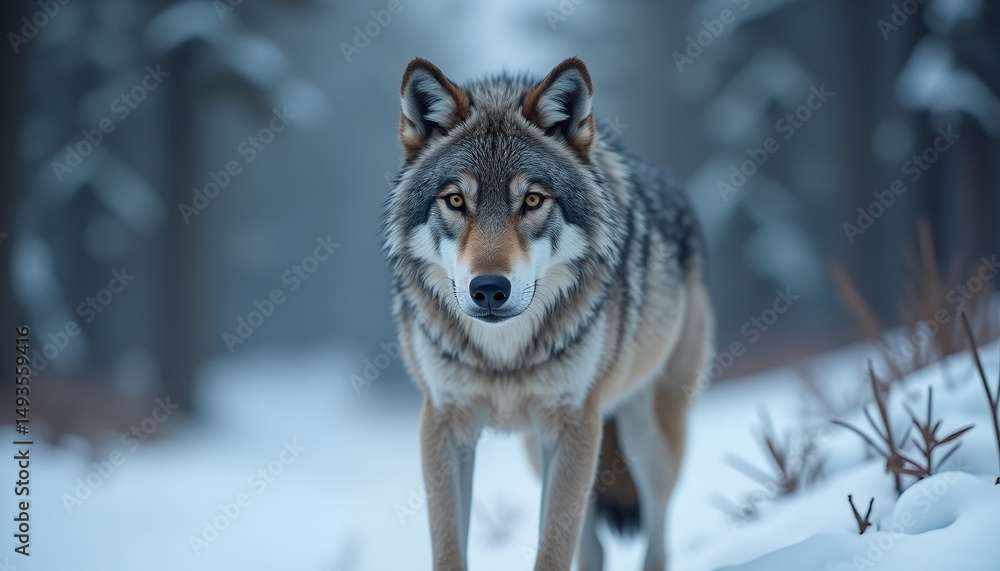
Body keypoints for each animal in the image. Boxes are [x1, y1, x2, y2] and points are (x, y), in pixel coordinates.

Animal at [382, 56, 713, 571]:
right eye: (456, 200)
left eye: (532, 200)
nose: (489, 290)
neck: (503, 356)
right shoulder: (444, 421)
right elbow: (451, 549)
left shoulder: (573, 421)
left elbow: (553, 549)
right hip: (541, 451)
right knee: (593, 546)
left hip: (646, 436)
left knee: (657, 536)